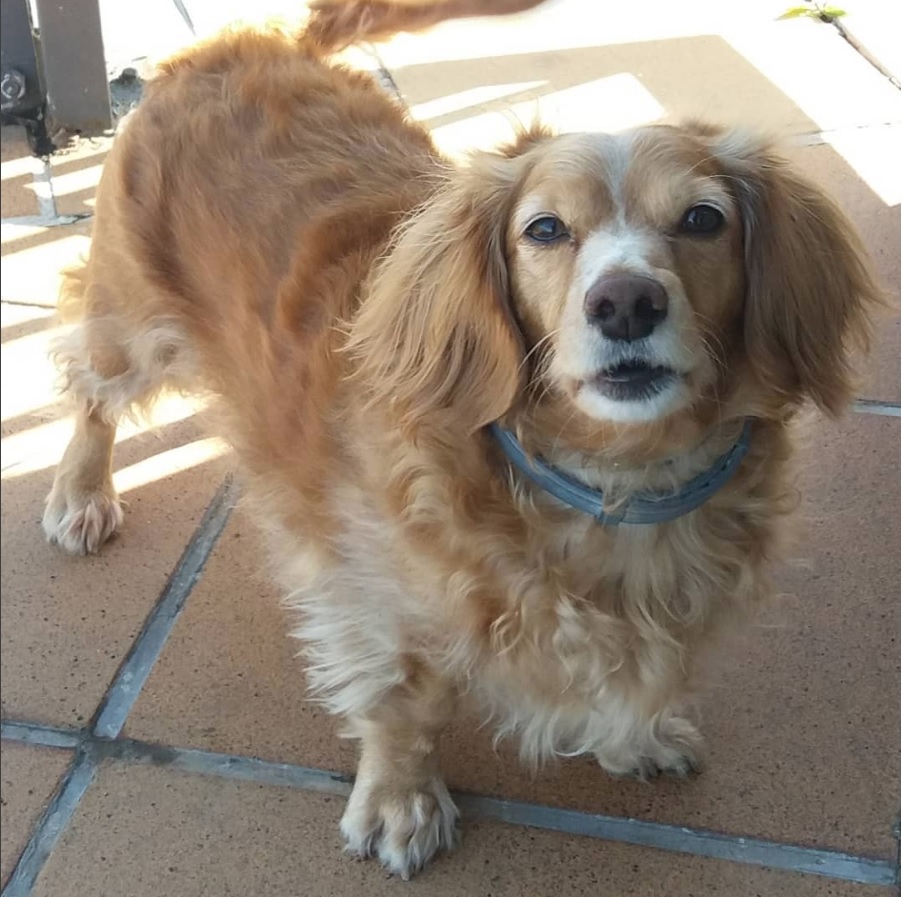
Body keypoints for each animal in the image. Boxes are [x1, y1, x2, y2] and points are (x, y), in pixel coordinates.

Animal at [42, 7, 884, 880]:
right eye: (544, 229)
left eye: (702, 220)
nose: (624, 302)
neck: (610, 487)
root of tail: (237, 42)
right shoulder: (371, 602)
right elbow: (401, 706)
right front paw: (399, 799)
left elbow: (644, 675)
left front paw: (635, 737)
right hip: (129, 327)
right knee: (90, 392)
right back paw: (81, 493)